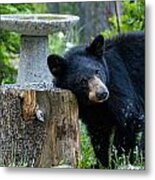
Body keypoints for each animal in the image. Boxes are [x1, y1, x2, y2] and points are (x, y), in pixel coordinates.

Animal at [47, 31, 144, 168]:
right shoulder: (93, 113)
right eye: (82, 80)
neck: (93, 104)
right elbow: (99, 133)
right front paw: (101, 163)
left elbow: (129, 118)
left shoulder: (118, 82)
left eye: (97, 71)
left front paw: (120, 160)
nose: (102, 93)